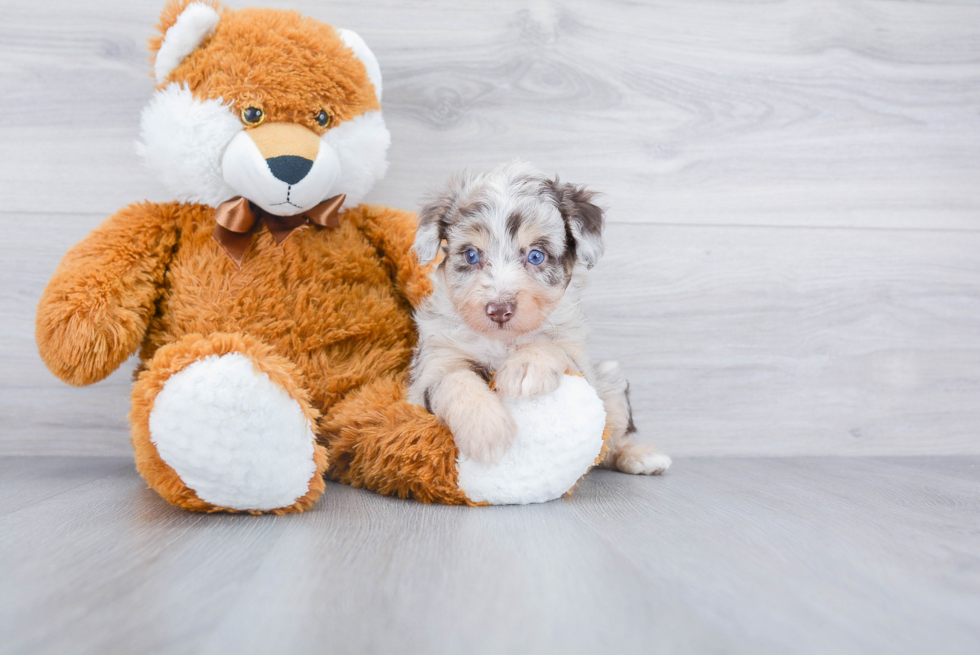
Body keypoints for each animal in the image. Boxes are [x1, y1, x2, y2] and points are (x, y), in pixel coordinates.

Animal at [404, 161, 668, 474]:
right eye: (471, 255)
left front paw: (526, 366)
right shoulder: (430, 370)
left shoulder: (581, 367)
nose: (499, 309)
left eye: (536, 256)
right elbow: (455, 380)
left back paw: (641, 456)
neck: (503, 342)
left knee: (610, 442)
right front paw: (486, 429)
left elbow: (549, 344)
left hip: (610, 379)